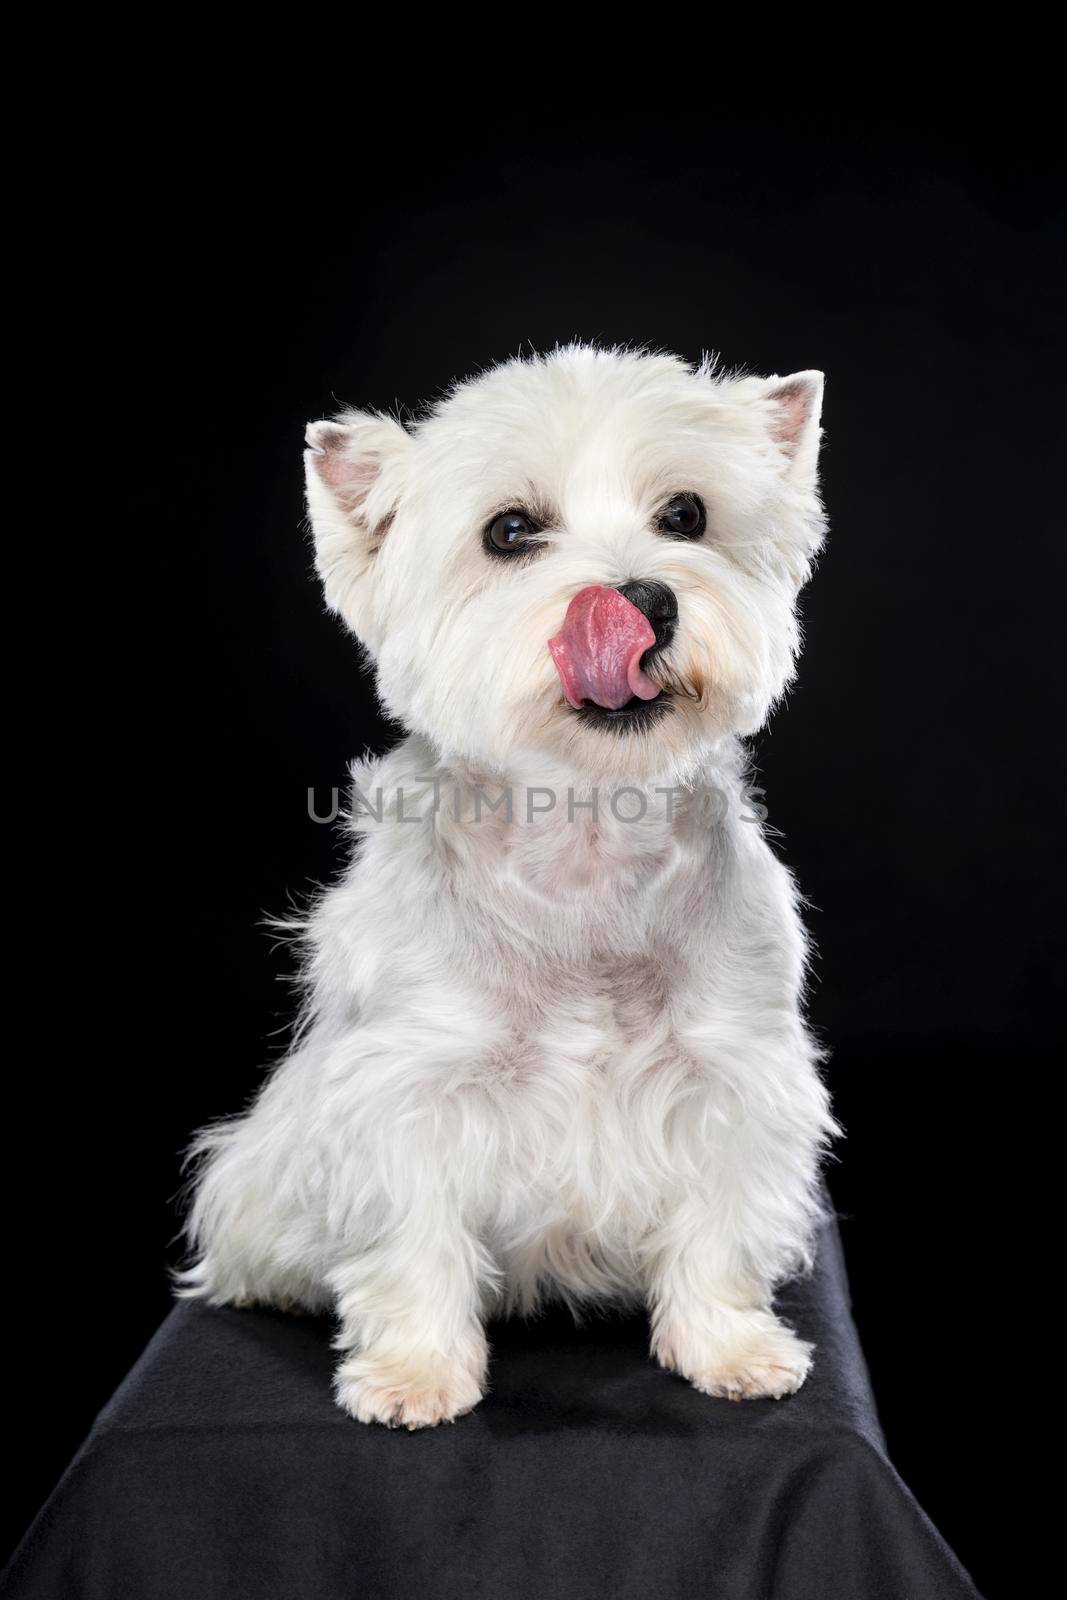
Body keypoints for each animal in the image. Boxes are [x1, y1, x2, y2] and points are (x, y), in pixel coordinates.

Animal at [177, 347, 844, 1427]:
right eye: (510, 532)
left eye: (686, 514)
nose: (642, 600)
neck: (585, 840)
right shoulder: (406, 1087)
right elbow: (412, 1240)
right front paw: (413, 1375)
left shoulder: (729, 1075)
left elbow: (715, 1227)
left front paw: (730, 1350)